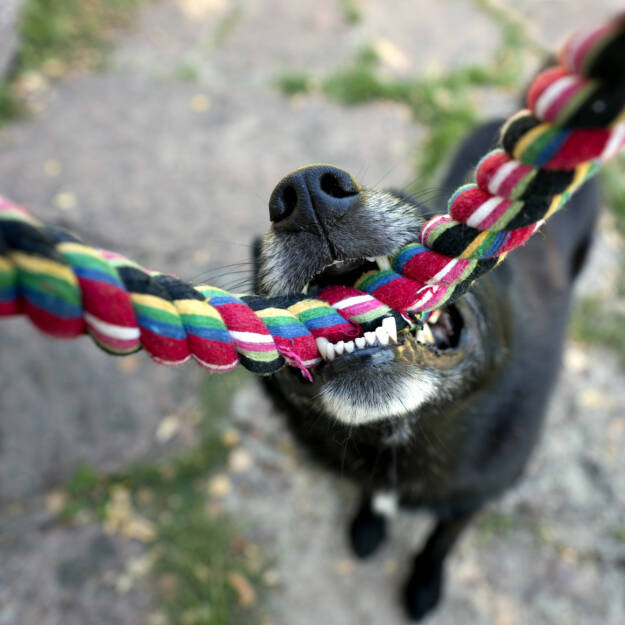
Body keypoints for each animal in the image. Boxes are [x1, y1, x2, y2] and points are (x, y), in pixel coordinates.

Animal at [252, 118, 600, 620]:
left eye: (437, 224)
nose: (304, 191)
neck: (403, 436)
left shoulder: (470, 502)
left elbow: (440, 544)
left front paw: (424, 585)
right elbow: (371, 500)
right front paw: (368, 527)